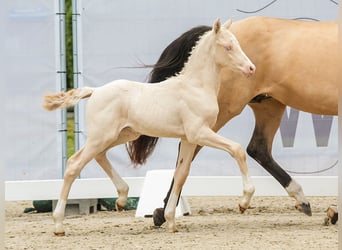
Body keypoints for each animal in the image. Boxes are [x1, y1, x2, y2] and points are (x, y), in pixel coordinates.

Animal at [43, 18, 256, 234]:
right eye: (228, 46)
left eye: (238, 43)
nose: (251, 68)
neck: (195, 87)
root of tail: (95, 91)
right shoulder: (199, 133)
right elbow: (237, 149)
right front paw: (244, 202)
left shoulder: (188, 139)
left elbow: (181, 174)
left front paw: (170, 220)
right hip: (102, 136)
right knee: (74, 164)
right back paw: (59, 224)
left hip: (123, 135)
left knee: (99, 156)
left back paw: (121, 198)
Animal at [127, 16, 338, 226]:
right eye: (229, 47)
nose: (250, 68)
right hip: (224, 110)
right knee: (193, 150)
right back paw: (163, 212)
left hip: (269, 105)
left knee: (257, 149)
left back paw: (303, 201)